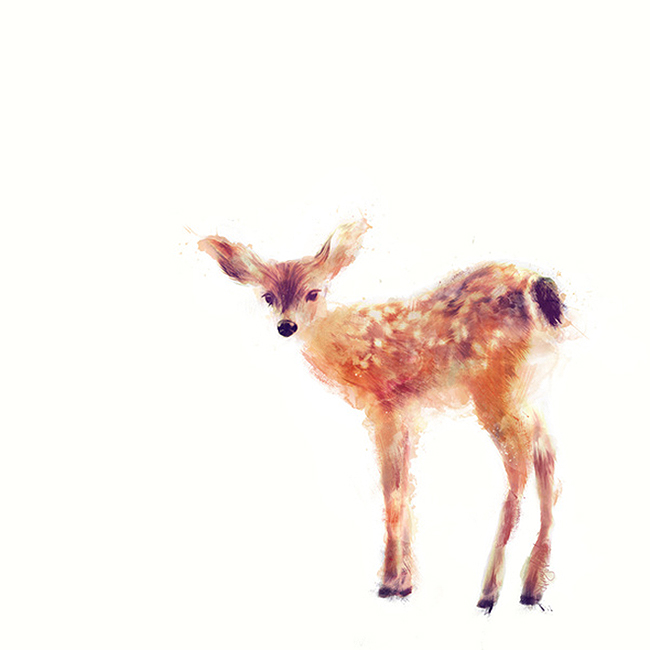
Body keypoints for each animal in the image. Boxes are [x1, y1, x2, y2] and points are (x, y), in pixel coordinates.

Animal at [198, 218, 567, 611]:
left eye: (313, 292)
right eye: (268, 295)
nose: (286, 326)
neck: (350, 347)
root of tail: (540, 288)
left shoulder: (385, 405)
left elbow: (391, 488)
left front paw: (389, 582)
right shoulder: (407, 412)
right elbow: (404, 485)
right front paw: (405, 582)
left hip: (494, 386)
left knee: (519, 464)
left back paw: (489, 591)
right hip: (530, 388)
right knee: (546, 453)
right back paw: (531, 587)